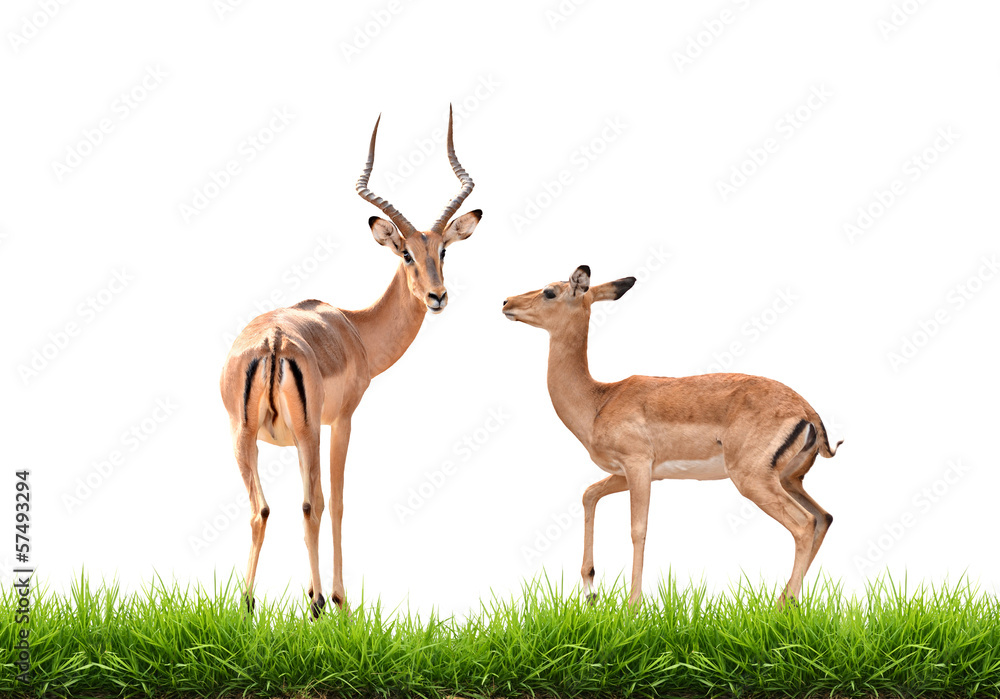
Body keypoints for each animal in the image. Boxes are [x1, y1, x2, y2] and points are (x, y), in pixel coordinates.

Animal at [220, 109, 481, 617]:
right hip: (305, 433)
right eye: (406, 253)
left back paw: (247, 603)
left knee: (261, 509)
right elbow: (336, 501)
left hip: (244, 436)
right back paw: (320, 602)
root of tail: (274, 341)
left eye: (442, 250)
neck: (354, 329)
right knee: (311, 505)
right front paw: (338, 597)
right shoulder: (340, 421)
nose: (437, 297)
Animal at [502, 266, 842, 608]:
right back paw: (786, 603)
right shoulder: (632, 473)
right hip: (788, 480)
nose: (506, 303)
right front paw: (590, 589)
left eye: (549, 292)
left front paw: (632, 606)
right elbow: (589, 494)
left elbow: (638, 529)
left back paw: (782, 607)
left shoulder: (637, 465)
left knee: (804, 524)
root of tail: (806, 411)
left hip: (753, 480)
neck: (599, 401)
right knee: (823, 517)